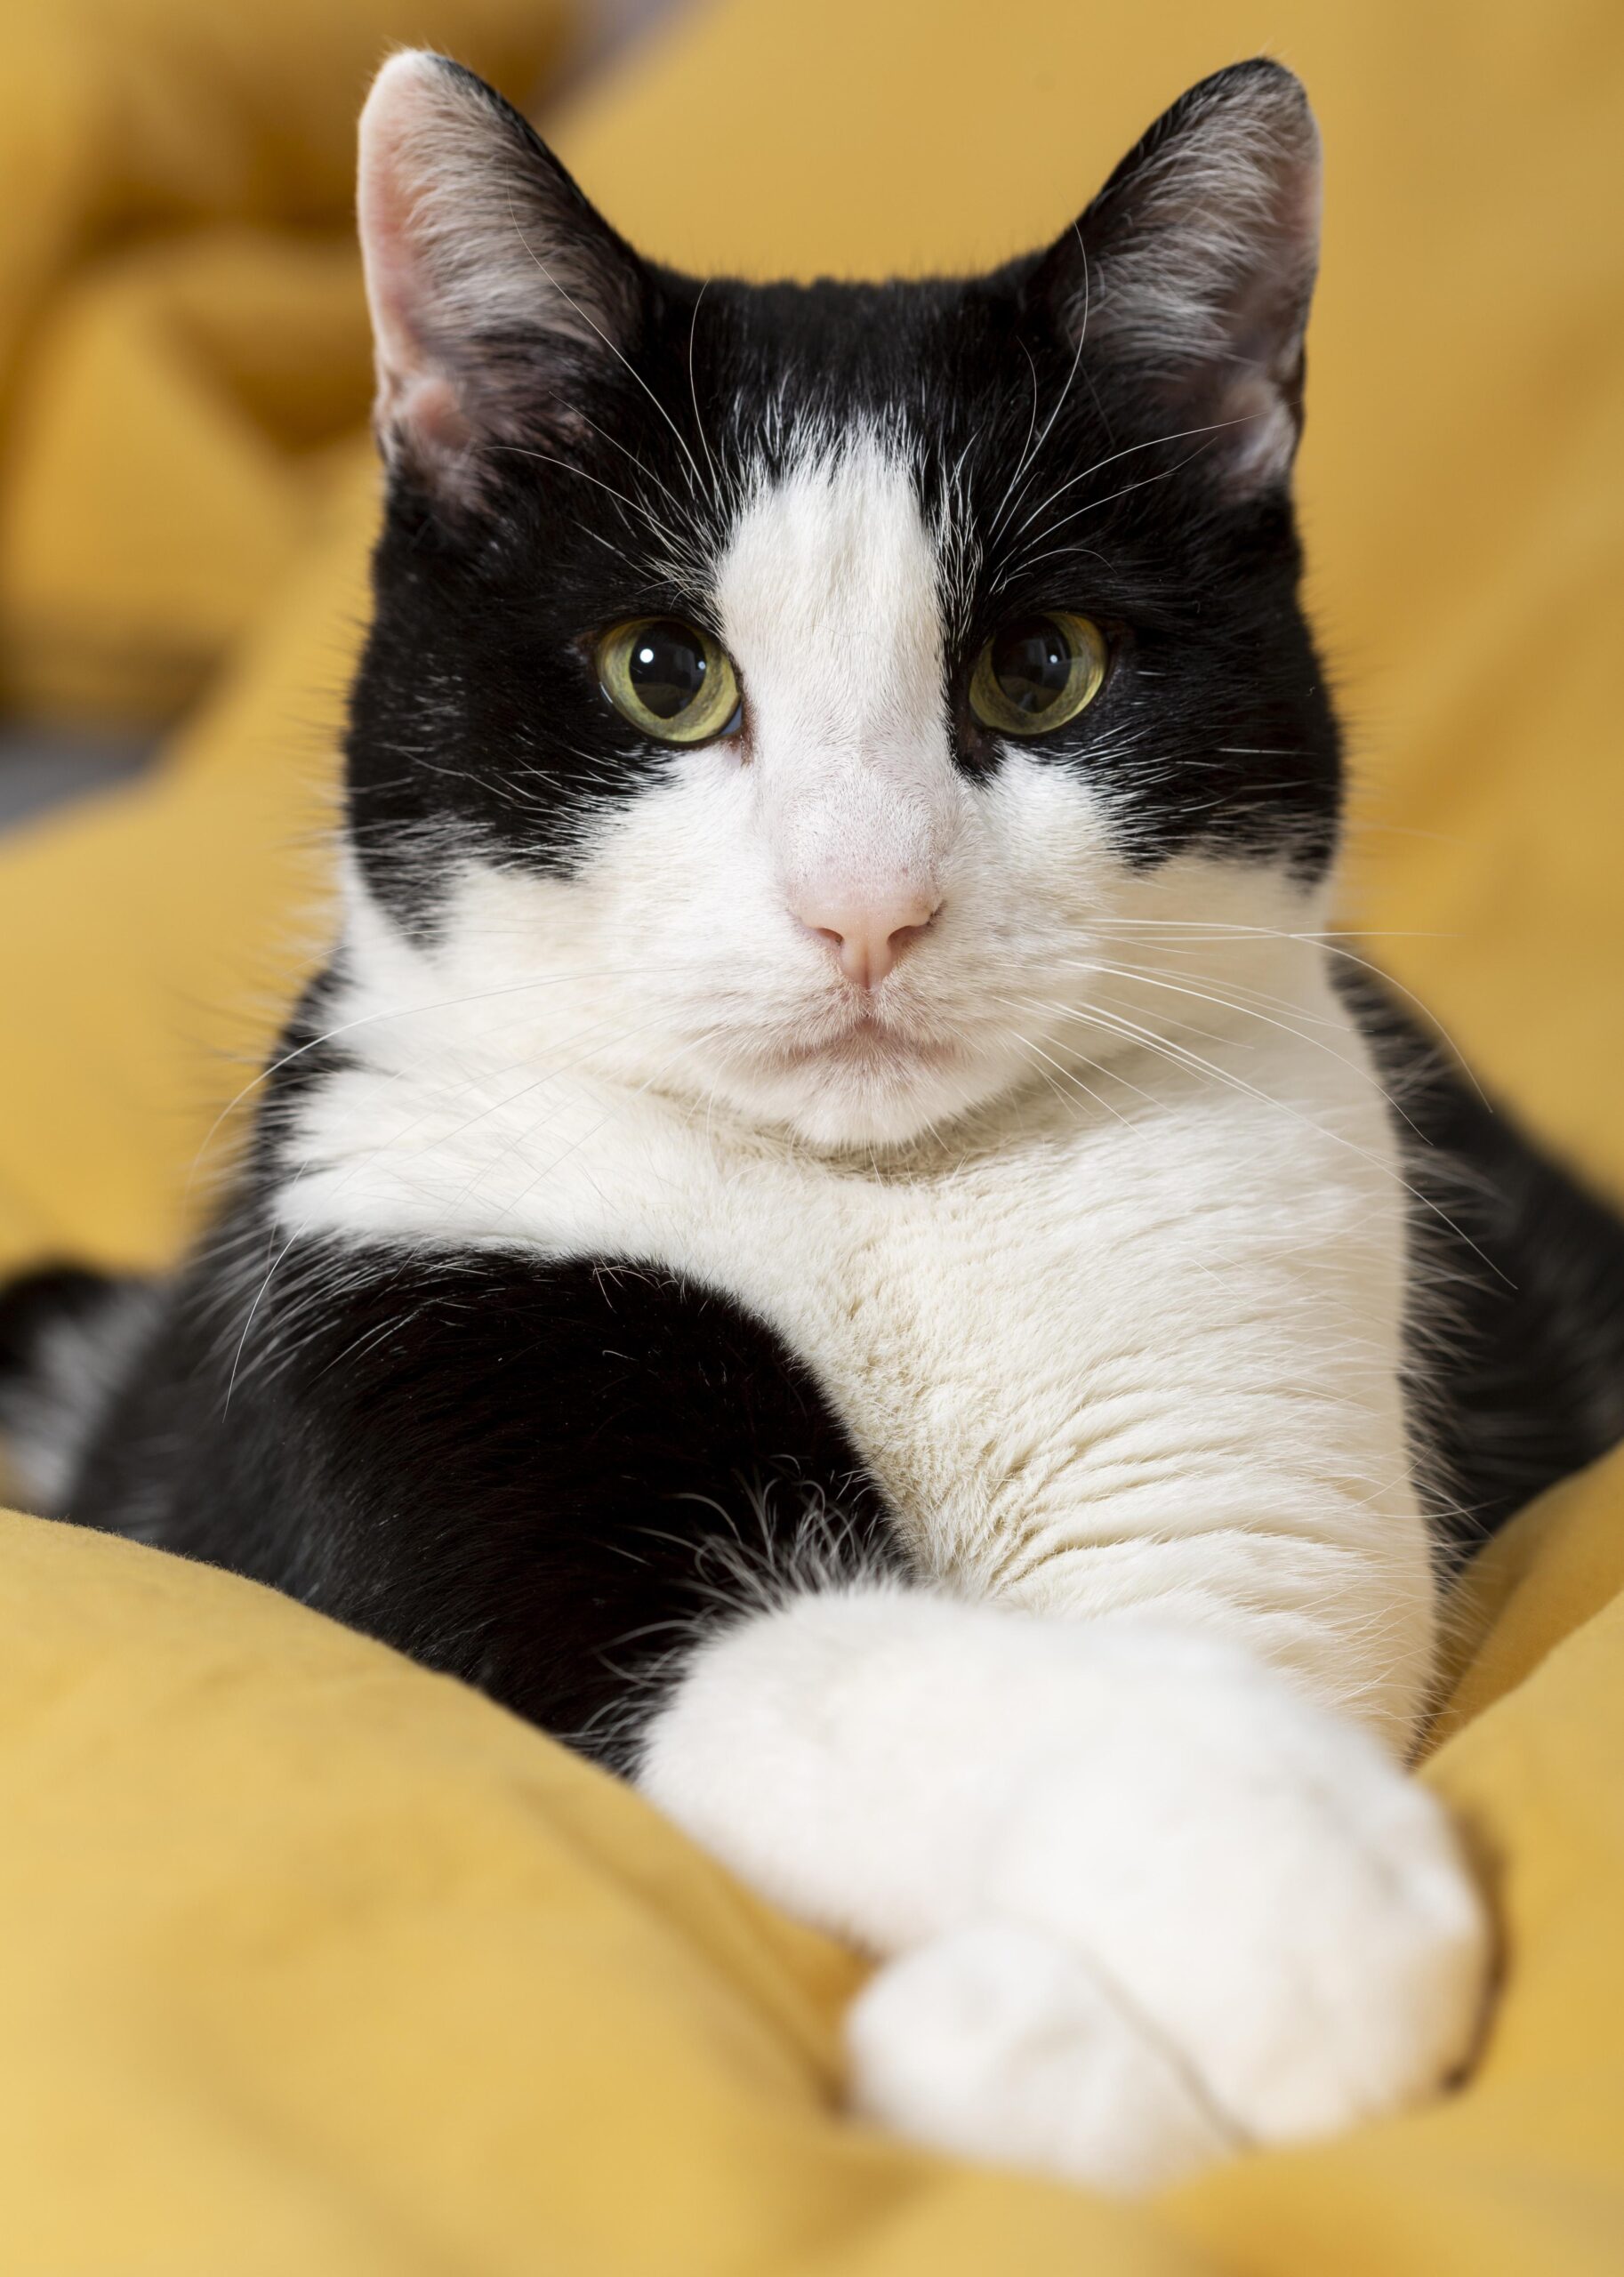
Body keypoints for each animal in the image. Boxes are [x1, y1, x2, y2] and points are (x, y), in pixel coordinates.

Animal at [3, 49, 1621, 2185]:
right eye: (664, 675)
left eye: (1043, 667)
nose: (868, 902)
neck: (887, 1196)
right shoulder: (420, 1318)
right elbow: (835, 1666)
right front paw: (1294, 1903)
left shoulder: (1251, 1399)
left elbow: (1214, 1637)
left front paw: (1045, 2031)